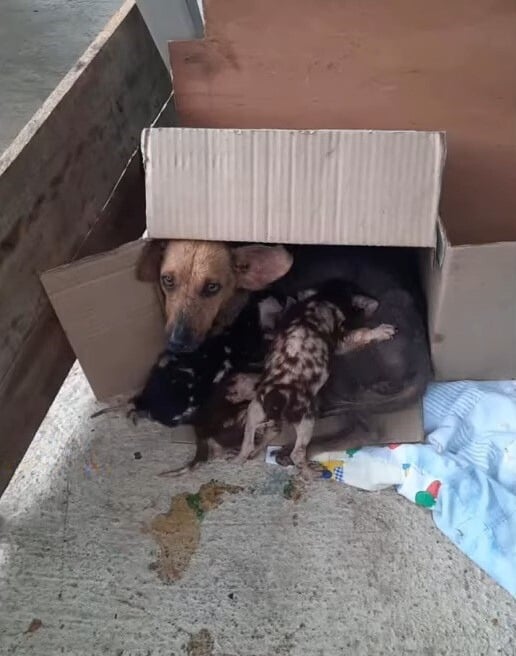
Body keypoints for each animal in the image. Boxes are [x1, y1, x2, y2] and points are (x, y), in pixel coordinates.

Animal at [236, 280, 398, 472]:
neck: (323, 298)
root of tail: (277, 400)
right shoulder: (342, 340)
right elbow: (362, 333)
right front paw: (380, 331)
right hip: (306, 421)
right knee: (297, 453)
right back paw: (309, 471)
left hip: (254, 410)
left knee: (249, 441)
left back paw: (243, 457)